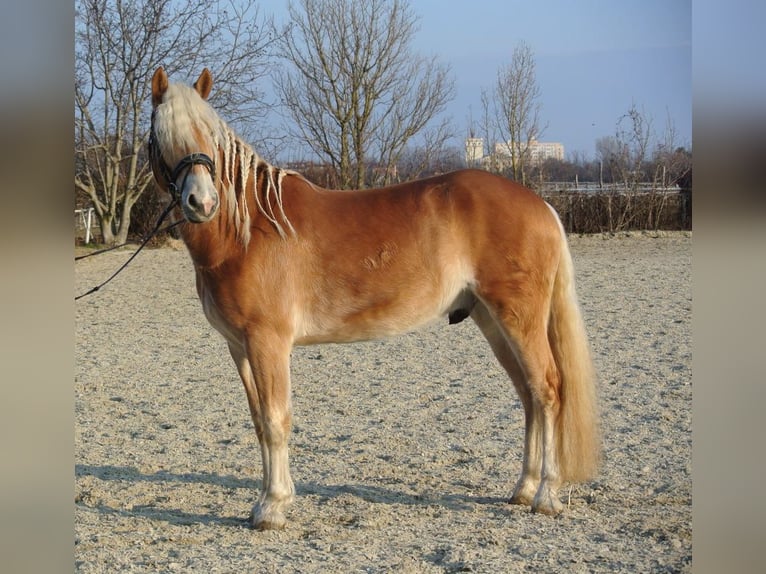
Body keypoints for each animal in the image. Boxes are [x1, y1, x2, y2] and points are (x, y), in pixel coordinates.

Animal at [150, 66, 604, 532]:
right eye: (162, 133)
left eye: (208, 133)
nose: (201, 202)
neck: (248, 229)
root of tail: (542, 205)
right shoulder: (238, 346)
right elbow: (260, 420)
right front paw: (267, 500)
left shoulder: (267, 342)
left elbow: (277, 420)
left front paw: (273, 506)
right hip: (493, 322)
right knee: (528, 394)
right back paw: (524, 488)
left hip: (519, 317)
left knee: (548, 390)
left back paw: (546, 495)